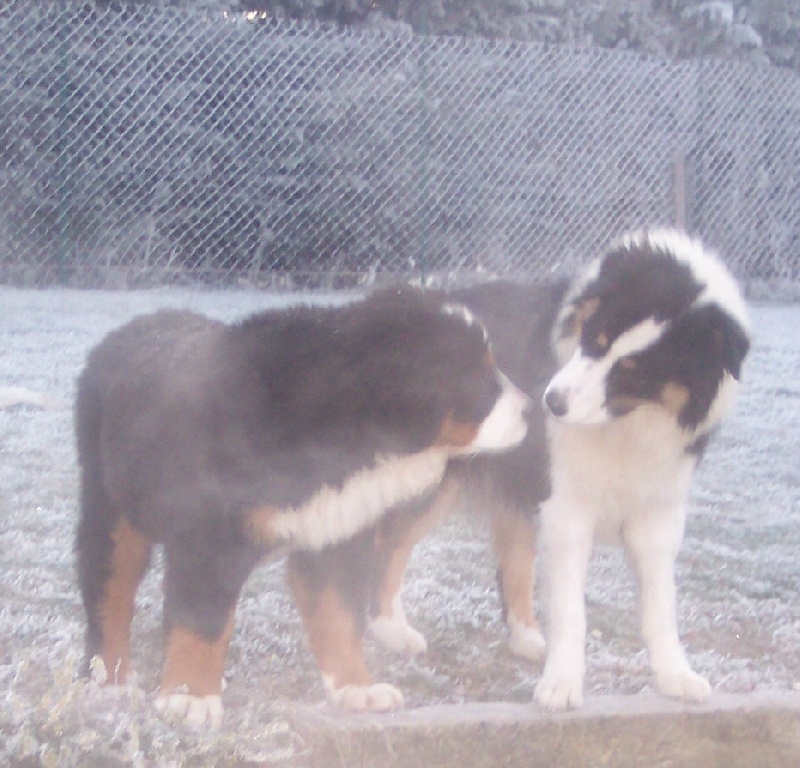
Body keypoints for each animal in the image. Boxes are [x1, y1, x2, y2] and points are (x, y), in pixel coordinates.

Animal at [72, 284, 528, 728]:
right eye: (476, 371)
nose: (531, 408)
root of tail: (132, 327)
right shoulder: (210, 538)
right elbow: (202, 621)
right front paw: (191, 698)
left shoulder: (335, 534)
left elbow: (339, 615)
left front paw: (357, 688)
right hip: (111, 510)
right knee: (109, 591)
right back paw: (110, 676)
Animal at [362, 231, 752, 712]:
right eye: (595, 338)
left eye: (634, 370)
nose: (550, 403)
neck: (625, 423)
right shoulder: (565, 505)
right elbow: (570, 610)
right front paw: (562, 683)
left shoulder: (656, 510)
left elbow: (661, 606)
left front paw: (675, 676)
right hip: (431, 479)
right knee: (388, 545)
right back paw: (391, 629)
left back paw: (526, 638)